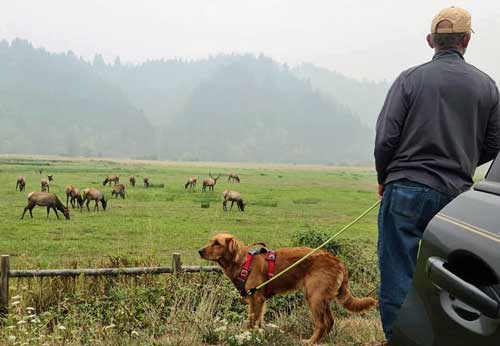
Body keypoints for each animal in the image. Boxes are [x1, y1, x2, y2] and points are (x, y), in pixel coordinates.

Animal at [197, 234, 376, 344]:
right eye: (210, 241)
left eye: (217, 244)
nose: (199, 251)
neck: (242, 262)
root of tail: (337, 261)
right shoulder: (260, 302)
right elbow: (258, 323)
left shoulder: (256, 299)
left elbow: (251, 323)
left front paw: (248, 337)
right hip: (322, 298)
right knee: (330, 322)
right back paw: (320, 341)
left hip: (314, 297)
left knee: (322, 323)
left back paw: (311, 341)